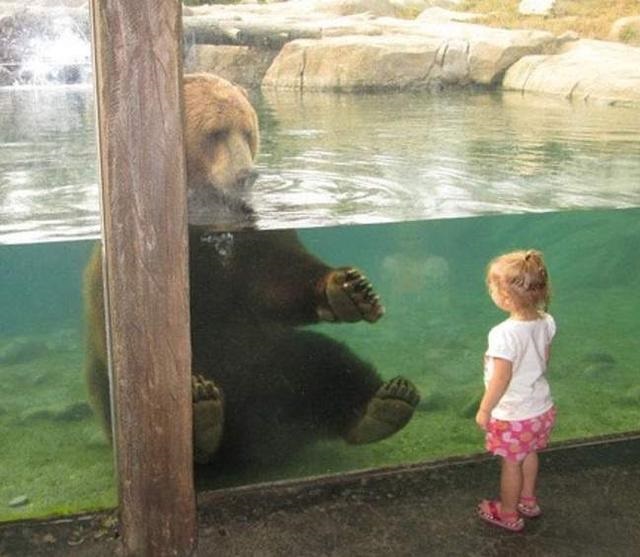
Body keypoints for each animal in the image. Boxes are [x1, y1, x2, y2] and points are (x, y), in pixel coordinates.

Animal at [84, 73, 420, 470]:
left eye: (247, 130)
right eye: (215, 132)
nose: (247, 174)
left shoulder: (254, 240)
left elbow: (276, 276)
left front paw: (350, 290)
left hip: (278, 356)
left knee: (326, 361)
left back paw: (384, 405)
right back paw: (201, 418)